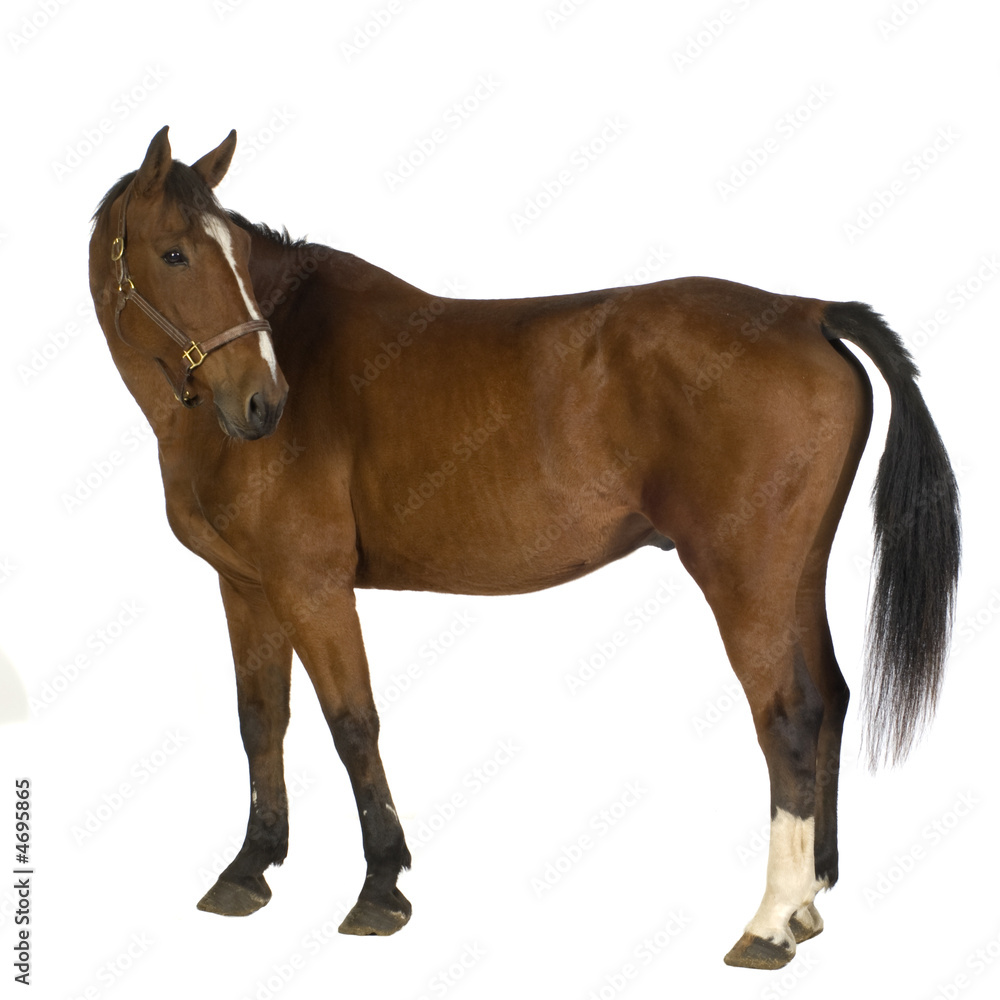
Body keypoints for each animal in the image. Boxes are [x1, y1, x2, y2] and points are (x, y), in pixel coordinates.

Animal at [88, 127, 960, 971]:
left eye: (232, 252)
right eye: (177, 253)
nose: (261, 402)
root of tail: (807, 312)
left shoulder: (313, 587)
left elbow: (352, 724)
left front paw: (380, 888)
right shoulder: (245, 587)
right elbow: (261, 720)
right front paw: (249, 870)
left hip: (746, 579)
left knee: (789, 714)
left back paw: (772, 922)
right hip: (795, 573)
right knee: (832, 700)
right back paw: (810, 901)